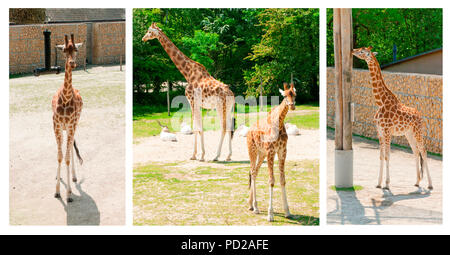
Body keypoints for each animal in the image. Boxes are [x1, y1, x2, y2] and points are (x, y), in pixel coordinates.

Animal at [142, 22, 236, 161]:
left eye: (149, 31)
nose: (143, 38)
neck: (187, 73)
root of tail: (232, 95)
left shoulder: (192, 101)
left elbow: (196, 127)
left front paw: (196, 155)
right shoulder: (197, 104)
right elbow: (199, 127)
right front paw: (200, 154)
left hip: (220, 107)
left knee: (223, 127)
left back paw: (216, 156)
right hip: (228, 108)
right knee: (229, 127)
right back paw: (228, 156)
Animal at [246, 83, 296, 221]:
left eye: (295, 95)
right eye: (284, 96)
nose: (292, 105)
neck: (279, 123)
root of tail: (250, 129)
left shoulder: (282, 151)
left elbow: (282, 180)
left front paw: (287, 212)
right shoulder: (271, 151)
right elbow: (271, 181)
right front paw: (270, 214)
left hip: (261, 153)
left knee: (255, 172)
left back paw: (251, 205)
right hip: (252, 150)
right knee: (252, 171)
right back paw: (256, 207)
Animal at [352, 45, 432, 190]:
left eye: (362, 51)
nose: (352, 50)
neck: (380, 102)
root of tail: (420, 115)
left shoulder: (387, 132)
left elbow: (387, 156)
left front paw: (387, 184)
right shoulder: (379, 132)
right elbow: (381, 156)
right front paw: (378, 183)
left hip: (418, 131)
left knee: (423, 151)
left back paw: (430, 184)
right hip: (409, 133)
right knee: (415, 152)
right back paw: (417, 182)